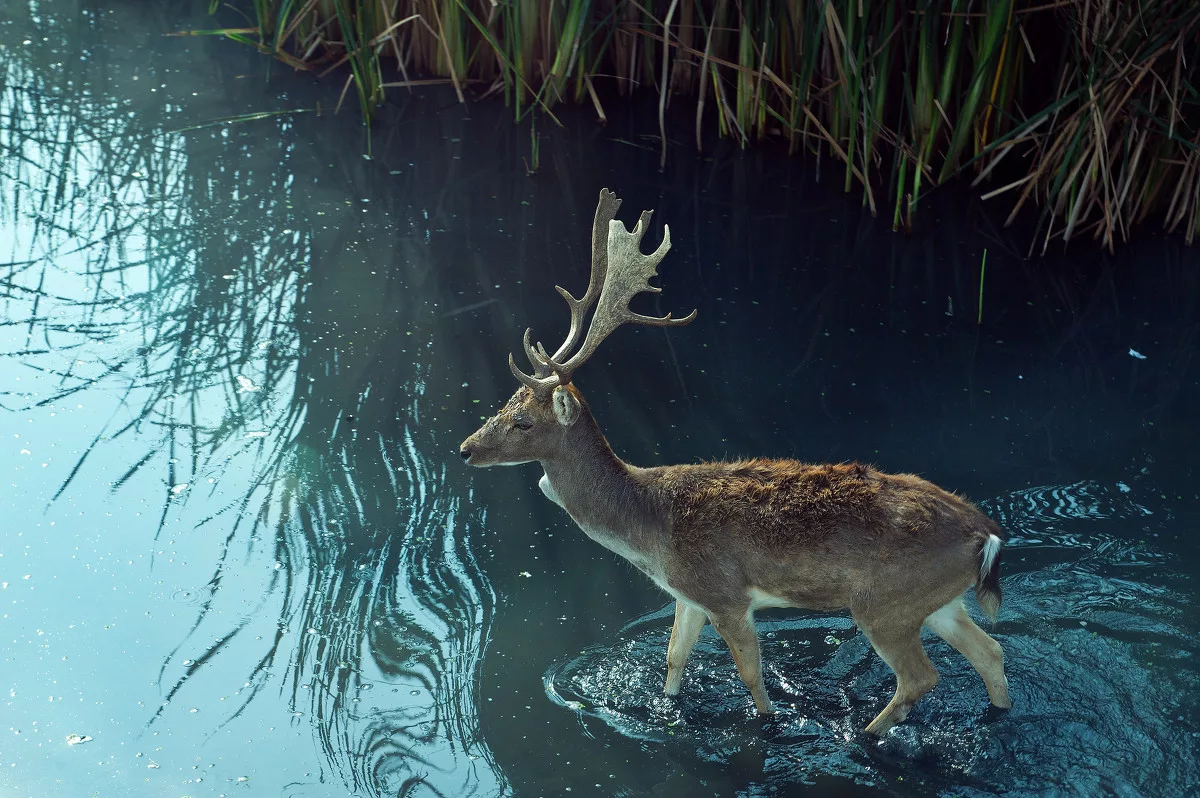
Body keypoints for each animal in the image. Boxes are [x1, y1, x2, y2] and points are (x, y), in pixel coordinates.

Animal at [460, 188, 1012, 734]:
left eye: (522, 423)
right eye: (505, 403)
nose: (466, 448)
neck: (649, 527)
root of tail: (986, 534)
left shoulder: (724, 594)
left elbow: (751, 677)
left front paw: (767, 722)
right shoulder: (687, 594)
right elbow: (673, 658)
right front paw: (668, 710)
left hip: (885, 603)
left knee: (922, 676)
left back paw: (868, 735)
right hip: (938, 600)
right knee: (991, 650)